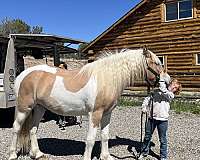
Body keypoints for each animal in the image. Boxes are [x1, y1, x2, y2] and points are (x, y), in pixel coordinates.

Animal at [8, 48, 163, 159]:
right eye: (157, 63)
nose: (165, 81)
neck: (105, 78)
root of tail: (22, 75)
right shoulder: (95, 114)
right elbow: (91, 139)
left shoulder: (107, 114)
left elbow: (105, 136)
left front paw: (105, 156)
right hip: (24, 108)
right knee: (16, 128)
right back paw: (12, 155)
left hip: (40, 108)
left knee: (32, 129)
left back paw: (37, 154)